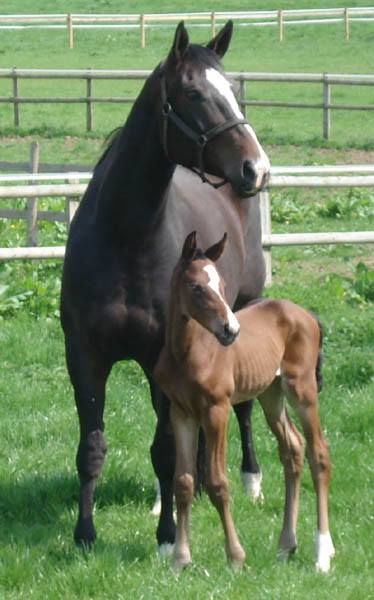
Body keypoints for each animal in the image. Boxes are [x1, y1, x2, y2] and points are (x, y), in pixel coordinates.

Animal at [153, 230, 334, 572]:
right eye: (196, 286)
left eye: (223, 285)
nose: (230, 330)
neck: (188, 354)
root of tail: (306, 314)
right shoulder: (181, 413)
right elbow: (184, 482)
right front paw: (180, 560)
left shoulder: (217, 410)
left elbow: (217, 483)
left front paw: (235, 557)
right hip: (271, 394)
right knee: (292, 449)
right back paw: (285, 546)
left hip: (302, 390)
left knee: (318, 454)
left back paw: (322, 553)